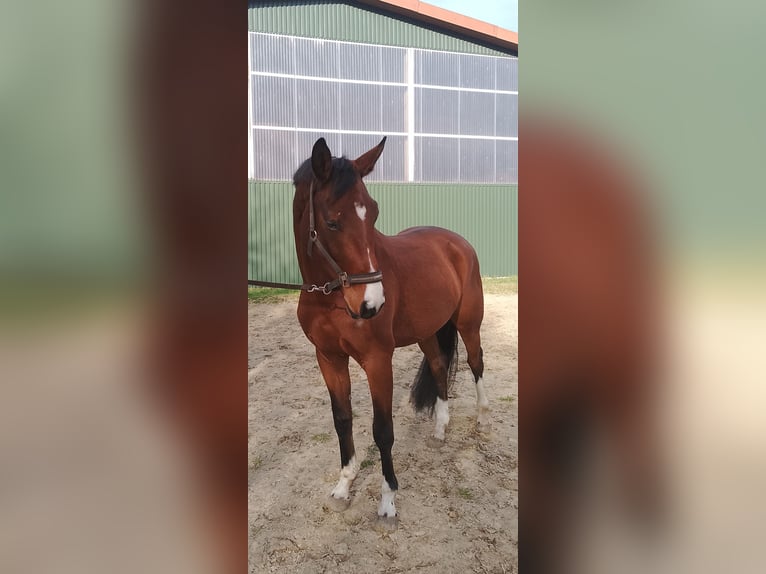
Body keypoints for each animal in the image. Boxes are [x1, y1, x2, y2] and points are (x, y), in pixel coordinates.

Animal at [292, 136, 488, 520]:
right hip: (428, 331)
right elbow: (342, 419)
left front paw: (387, 501)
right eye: (332, 222)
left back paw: (482, 419)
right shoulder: (329, 358)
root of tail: (457, 243)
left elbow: (383, 431)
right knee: (440, 366)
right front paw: (343, 486)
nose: (371, 304)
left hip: (469, 324)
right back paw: (440, 430)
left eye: (374, 212)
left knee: (476, 363)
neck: (328, 297)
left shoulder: (377, 361)